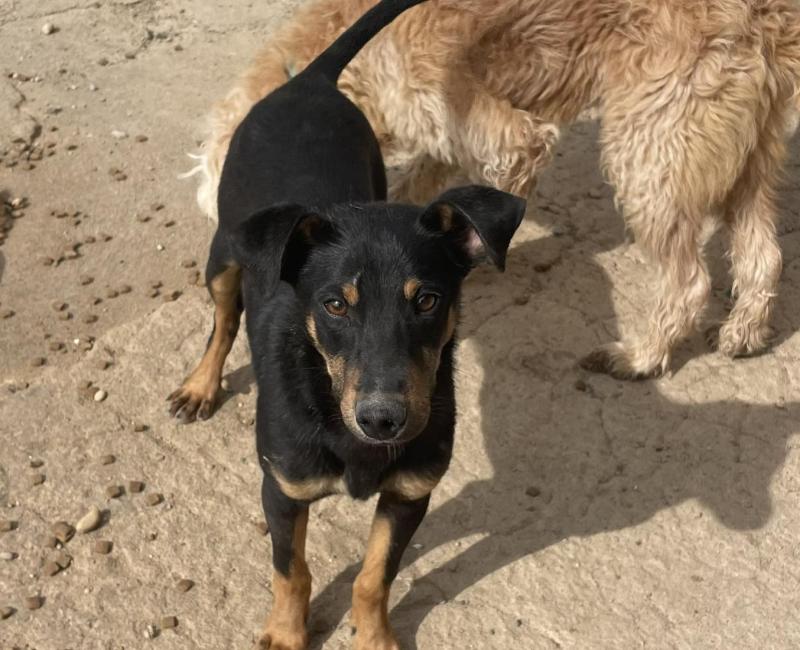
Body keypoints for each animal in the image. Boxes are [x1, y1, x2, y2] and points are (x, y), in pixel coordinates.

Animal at [168, 0, 526, 647]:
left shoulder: (411, 494)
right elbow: (293, 571)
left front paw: (375, 635)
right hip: (225, 253)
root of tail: (307, 82)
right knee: (224, 318)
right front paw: (287, 634)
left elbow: (373, 575)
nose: (384, 421)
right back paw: (200, 386)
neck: (330, 399)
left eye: (428, 300)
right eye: (335, 304)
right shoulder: (282, 491)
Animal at [190, 0, 800, 380]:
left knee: (689, 282)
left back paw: (642, 357)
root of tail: (763, 16)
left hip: (649, 157)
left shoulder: (514, 140)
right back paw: (744, 332)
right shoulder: (439, 142)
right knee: (763, 255)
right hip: (746, 160)